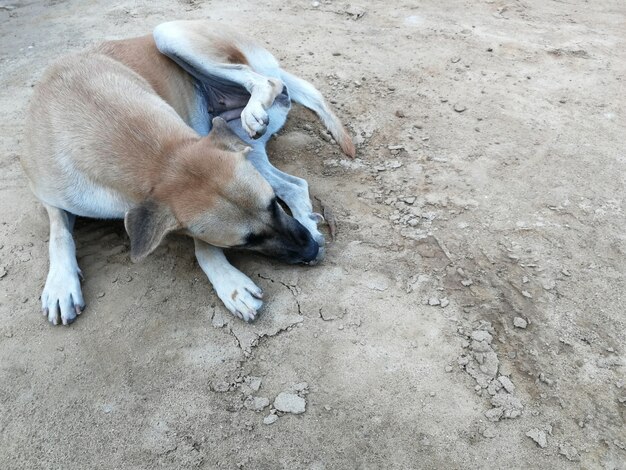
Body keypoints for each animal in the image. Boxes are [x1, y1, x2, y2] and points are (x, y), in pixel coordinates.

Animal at [22, 19, 354, 326]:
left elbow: (202, 243)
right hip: (243, 144)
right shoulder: (50, 195)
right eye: (246, 241)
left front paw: (228, 281)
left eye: (272, 206)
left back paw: (255, 109)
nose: (311, 250)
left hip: (170, 33)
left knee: (265, 81)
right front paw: (61, 283)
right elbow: (59, 233)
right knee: (295, 184)